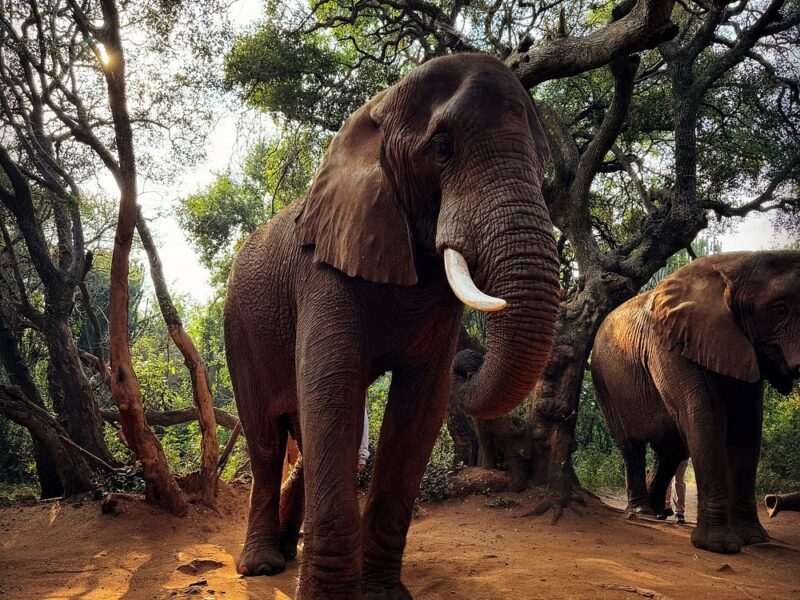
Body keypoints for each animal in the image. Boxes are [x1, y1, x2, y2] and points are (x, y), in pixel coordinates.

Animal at [224, 53, 561, 599]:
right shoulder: (323, 270)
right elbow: (333, 390)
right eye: (442, 149)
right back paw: (261, 565)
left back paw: (288, 551)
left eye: (543, 164)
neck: (377, 111)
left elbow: (420, 405)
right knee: (266, 441)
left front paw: (382, 592)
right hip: (238, 328)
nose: (469, 361)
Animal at [590, 251, 800, 554]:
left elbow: (747, 424)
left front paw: (754, 540)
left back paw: (658, 512)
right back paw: (642, 512)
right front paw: (720, 546)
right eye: (780, 309)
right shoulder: (669, 342)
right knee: (632, 446)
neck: (738, 265)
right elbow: (705, 414)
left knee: (671, 450)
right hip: (604, 383)